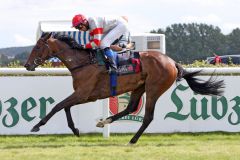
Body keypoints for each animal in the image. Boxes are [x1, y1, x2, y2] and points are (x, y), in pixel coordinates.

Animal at [23, 32, 224, 144]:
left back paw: (132, 140)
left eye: (38, 46)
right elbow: (65, 107)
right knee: (130, 107)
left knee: (148, 117)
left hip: (154, 88)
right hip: (139, 87)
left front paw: (37, 126)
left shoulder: (83, 93)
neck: (83, 62)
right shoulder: (85, 95)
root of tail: (172, 62)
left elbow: (58, 106)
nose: (27, 65)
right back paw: (105, 121)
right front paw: (75, 130)